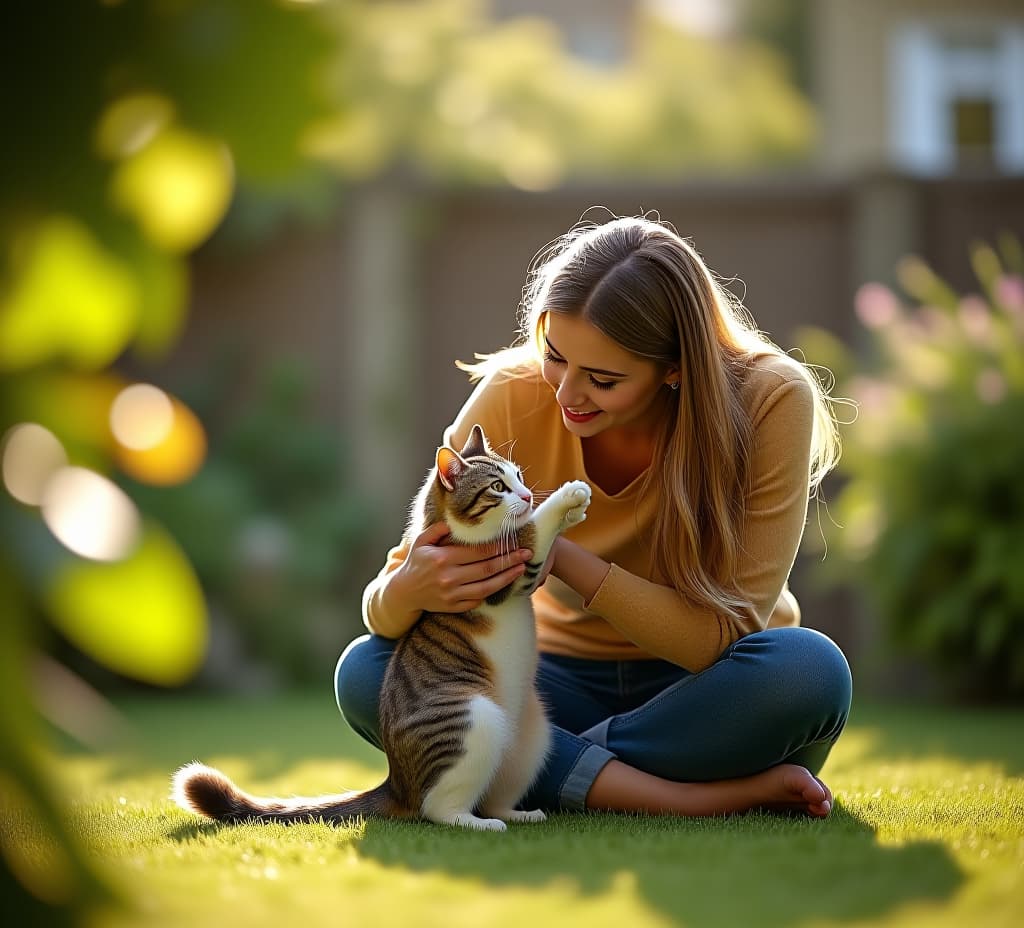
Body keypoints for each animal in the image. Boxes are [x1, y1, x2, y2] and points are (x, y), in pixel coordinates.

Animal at [173, 424, 593, 831]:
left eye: (518, 476)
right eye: (497, 487)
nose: (527, 494)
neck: (456, 532)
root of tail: (397, 782)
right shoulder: (506, 572)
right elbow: (534, 529)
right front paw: (568, 497)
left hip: (533, 736)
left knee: (494, 794)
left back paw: (515, 813)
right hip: (475, 717)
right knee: (437, 807)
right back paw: (477, 824)